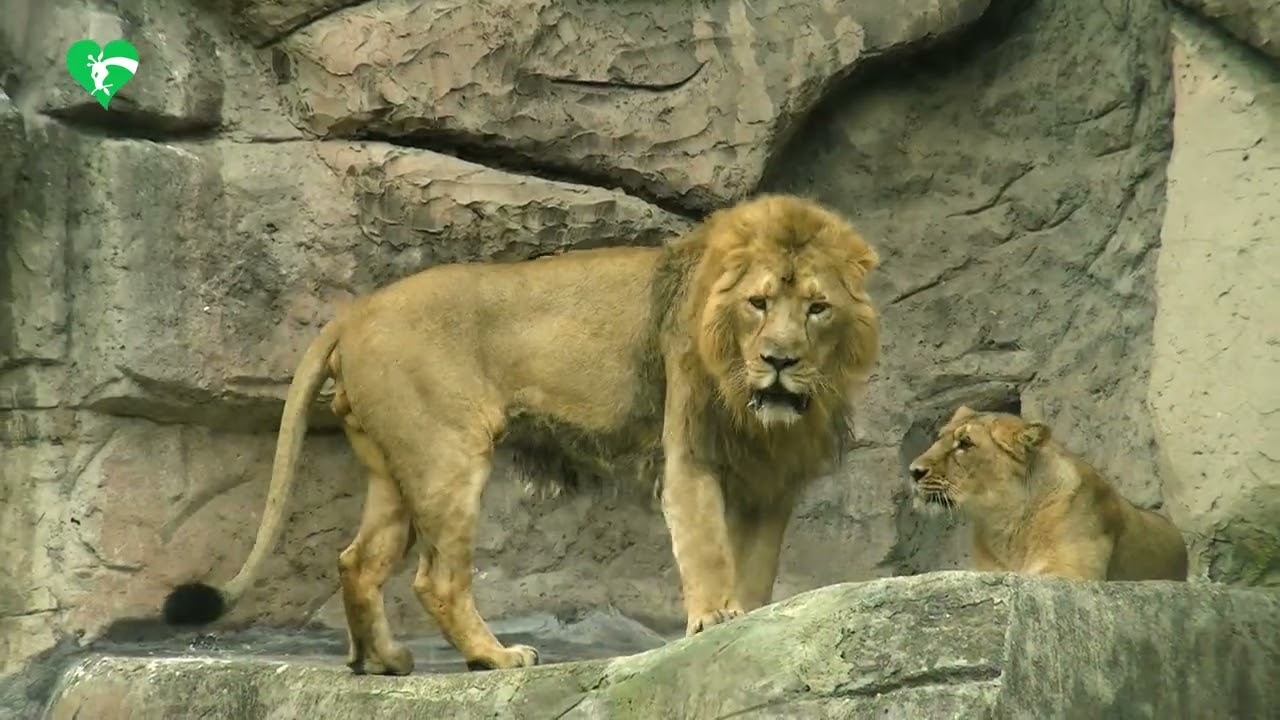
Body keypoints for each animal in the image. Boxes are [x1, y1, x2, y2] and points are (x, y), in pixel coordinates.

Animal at [161, 193, 882, 674]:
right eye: (758, 303)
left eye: (817, 308)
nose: (780, 360)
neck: (754, 405)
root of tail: (353, 312)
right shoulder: (691, 450)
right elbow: (707, 545)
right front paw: (712, 620)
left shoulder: (772, 480)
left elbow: (756, 564)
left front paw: (754, 622)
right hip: (449, 452)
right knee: (437, 579)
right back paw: (497, 658)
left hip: (394, 467)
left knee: (357, 561)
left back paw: (383, 660)